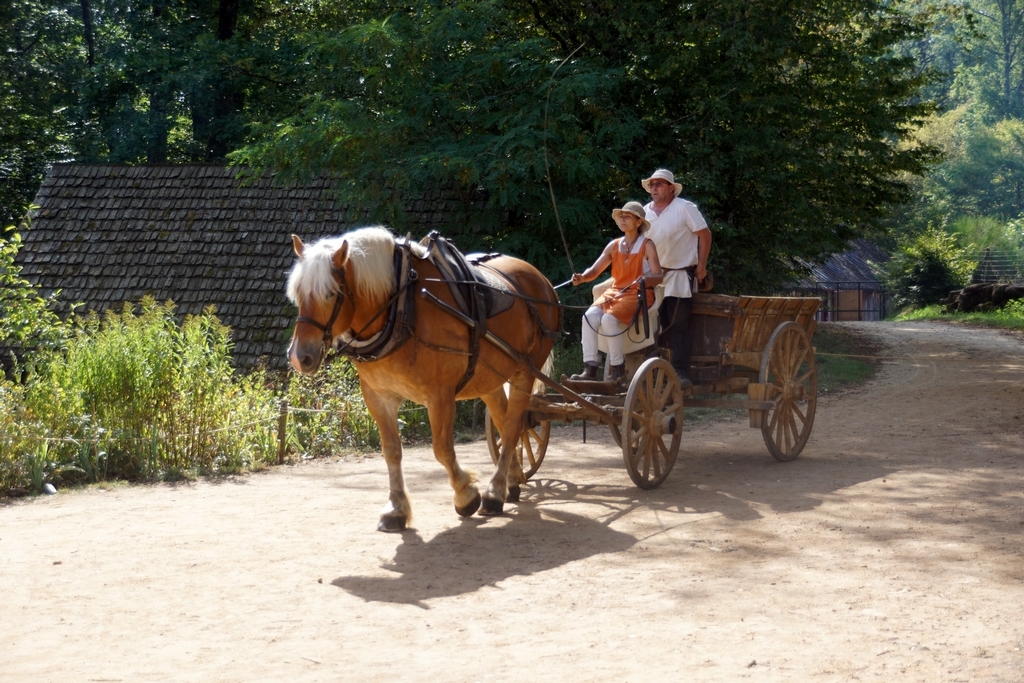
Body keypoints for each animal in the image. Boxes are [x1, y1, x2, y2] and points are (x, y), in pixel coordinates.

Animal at [286, 227, 561, 532]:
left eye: (330, 293)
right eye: (297, 294)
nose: (299, 357)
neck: (402, 307)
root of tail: (541, 280)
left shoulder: (440, 396)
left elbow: (442, 450)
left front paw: (466, 495)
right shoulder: (378, 397)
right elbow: (391, 451)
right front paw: (396, 509)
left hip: (525, 370)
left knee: (513, 427)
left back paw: (494, 492)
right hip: (490, 376)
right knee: (504, 422)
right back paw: (510, 482)